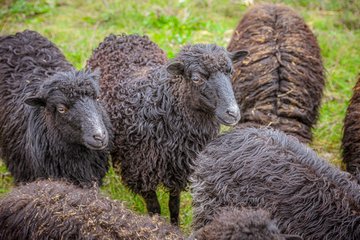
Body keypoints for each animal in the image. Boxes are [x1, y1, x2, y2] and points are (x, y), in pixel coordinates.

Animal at [87, 34, 248, 225]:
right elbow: (154, 207)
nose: (233, 113)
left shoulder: (179, 169)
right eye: (196, 78)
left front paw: (175, 226)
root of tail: (121, 36)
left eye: (230, 72)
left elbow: (174, 204)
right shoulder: (141, 169)